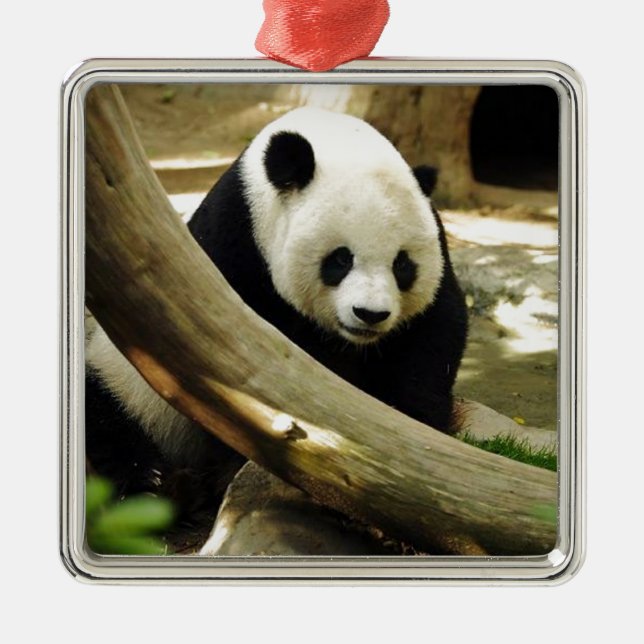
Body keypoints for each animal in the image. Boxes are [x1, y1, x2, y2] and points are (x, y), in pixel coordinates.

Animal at [85, 107, 468, 514]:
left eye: (402, 265)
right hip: (124, 379)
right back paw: (158, 483)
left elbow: (433, 336)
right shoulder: (234, 248)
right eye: (340, 259)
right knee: (107, 417)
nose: (370, 314)